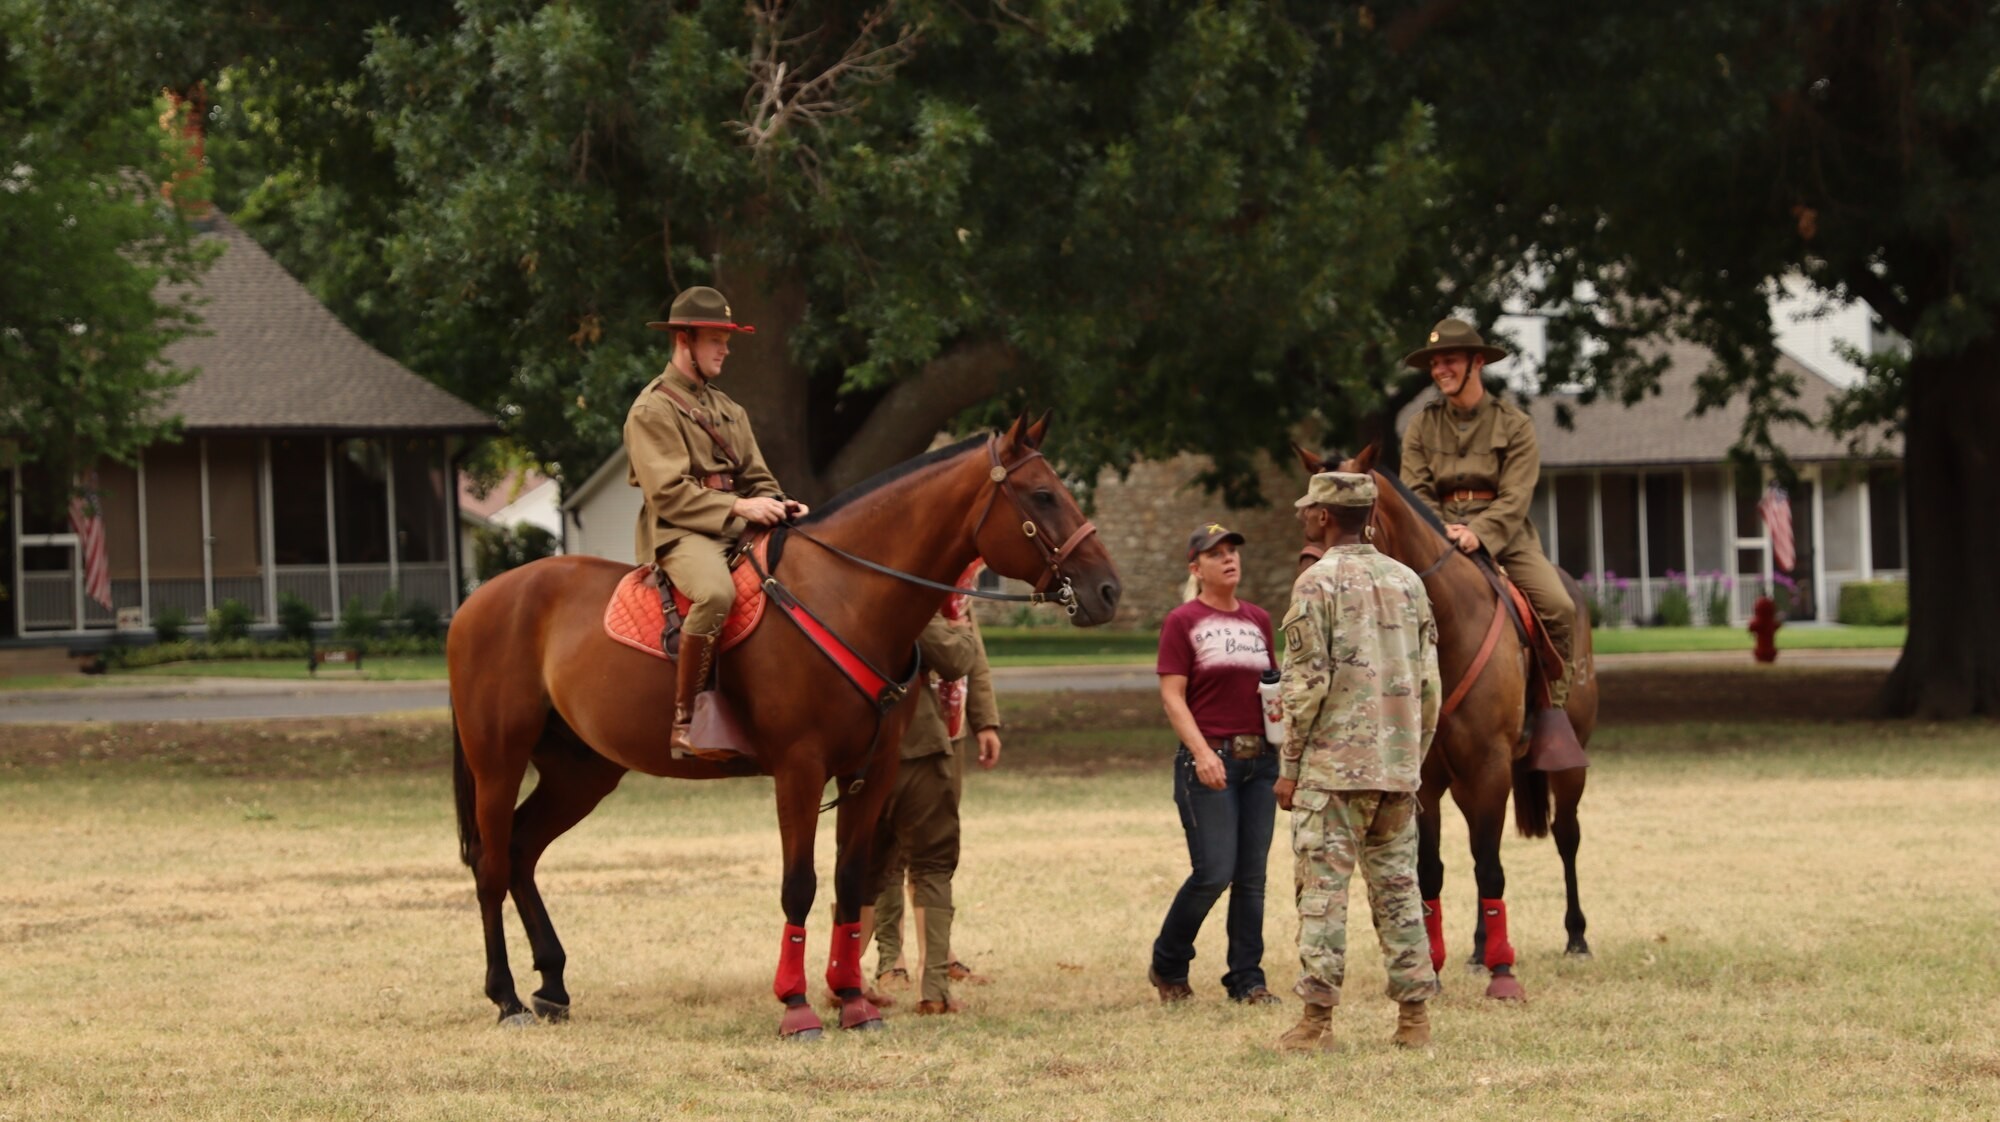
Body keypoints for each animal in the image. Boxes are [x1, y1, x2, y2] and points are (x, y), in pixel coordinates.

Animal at [444, 416, 1120, 1040]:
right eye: (1042, 495)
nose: (1108, 590)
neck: (846, 595)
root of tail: (477, 602)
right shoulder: (799, 769)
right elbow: (800, 885)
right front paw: (796, 1006)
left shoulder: (871, 773)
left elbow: (850, 882)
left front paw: (852, 999)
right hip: (498, 762)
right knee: (493, 864)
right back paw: (505, 996)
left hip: (582, 772)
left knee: (523, 851)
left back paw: (553, 985)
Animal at [1304, 446, 1600, 996]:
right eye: (1305, 516)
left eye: (1344, 517)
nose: (1311, 578)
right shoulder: (1426, 778)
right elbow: (1433, 870)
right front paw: (1434, 969)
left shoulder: (1491, 767)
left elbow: (1491, 869)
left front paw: (1504, 974)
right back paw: (1481, 950)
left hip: (1567, 767)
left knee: (1566, 837)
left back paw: (1575, 938)